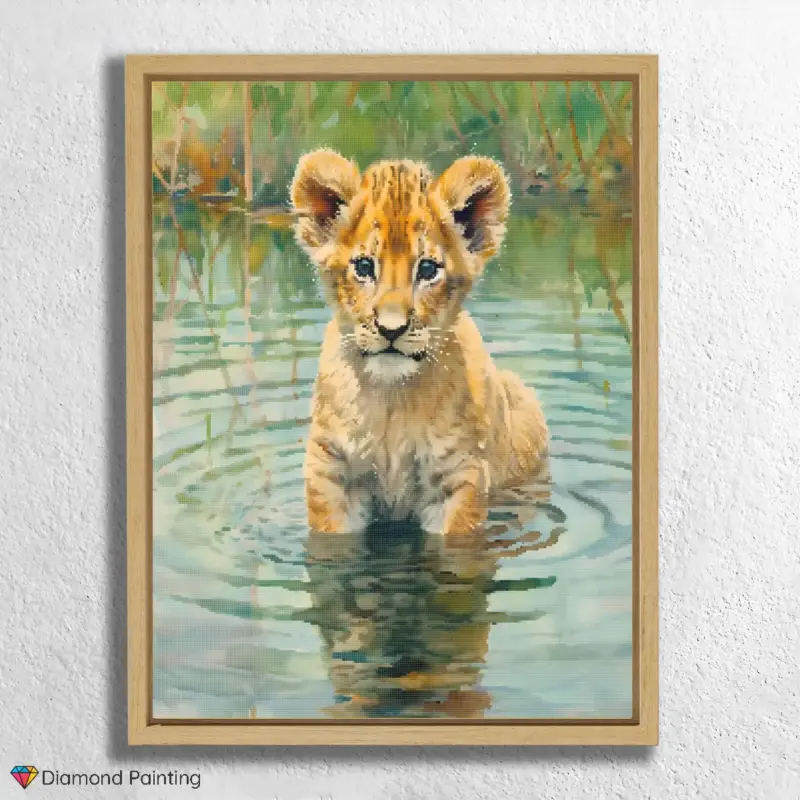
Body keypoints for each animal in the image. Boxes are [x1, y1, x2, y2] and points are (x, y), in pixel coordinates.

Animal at [290, 150, 548, 535]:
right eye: (364, 266)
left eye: (427, 270)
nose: (391, 329)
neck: (392, 399)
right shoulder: (332, 470)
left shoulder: (459, 476)